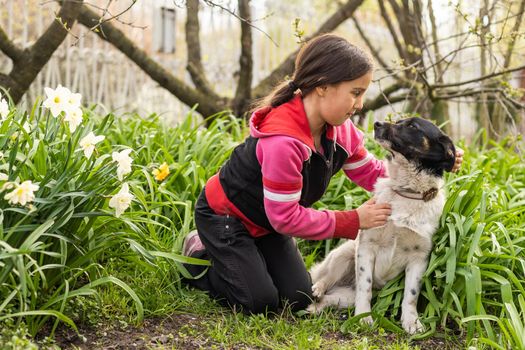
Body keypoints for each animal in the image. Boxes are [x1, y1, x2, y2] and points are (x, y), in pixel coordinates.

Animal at [308, 117, 454, 334]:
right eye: (399, 121)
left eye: (412, 126)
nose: (377, 123)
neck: (407, 192)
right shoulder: (366, 246)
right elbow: (365, 287)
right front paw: (363, 317)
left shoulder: (419, 257)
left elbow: (411, 295)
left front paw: (411, 322)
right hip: (343, 255)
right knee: (324, 276)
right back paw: (317, 289)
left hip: (345, 297)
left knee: (329, 299)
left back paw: (314, 306)